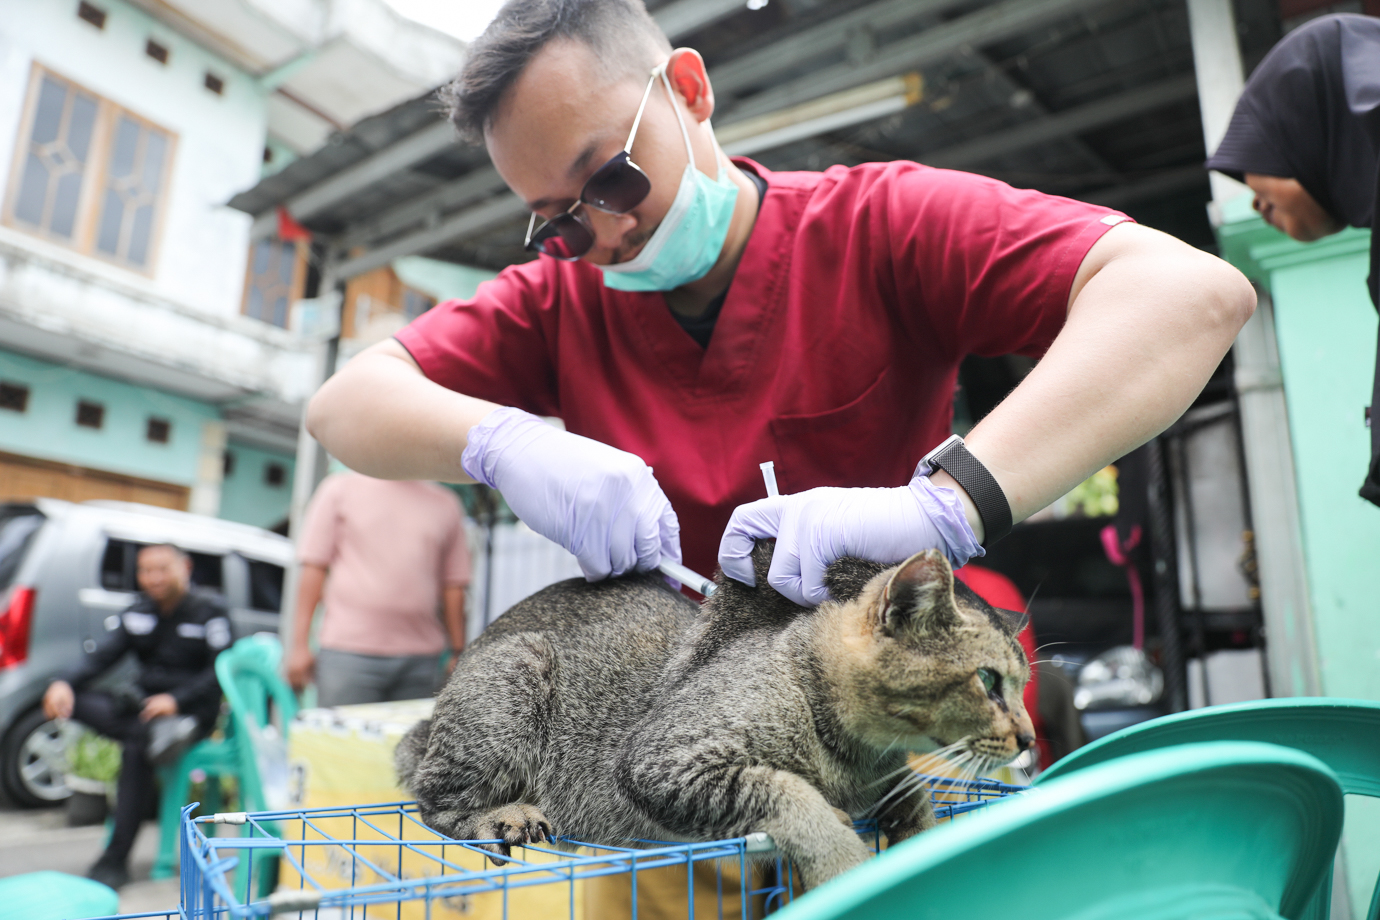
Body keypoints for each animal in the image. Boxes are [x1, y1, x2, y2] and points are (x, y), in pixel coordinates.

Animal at [394, 543, 1032, 888]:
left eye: (1024, 687)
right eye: (989, 682)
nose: (1028, 737)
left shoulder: (887, 772)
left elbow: (913, 794)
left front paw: (919, 837)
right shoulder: (663, 761)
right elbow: (789, 792)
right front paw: (839, 856)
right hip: (513, 678)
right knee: (434, 801)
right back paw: (502, 815)